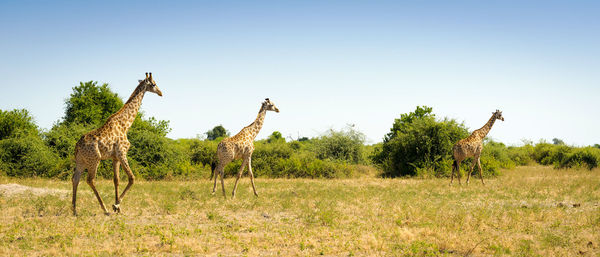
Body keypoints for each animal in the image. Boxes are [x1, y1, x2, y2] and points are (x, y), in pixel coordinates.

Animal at [71, 72, 163, 214]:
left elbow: (116, 180)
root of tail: (77, 147)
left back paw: (75, 211)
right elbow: (132, 178)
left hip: (81, 161)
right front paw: (116, 205)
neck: (125, 125)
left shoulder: (115, 157)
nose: (160, 92)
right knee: (90, 180)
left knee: (75, 179)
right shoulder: (122, 152)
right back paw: (104, 209)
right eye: (153, 84)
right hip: (94, 159)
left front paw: (118, 207)